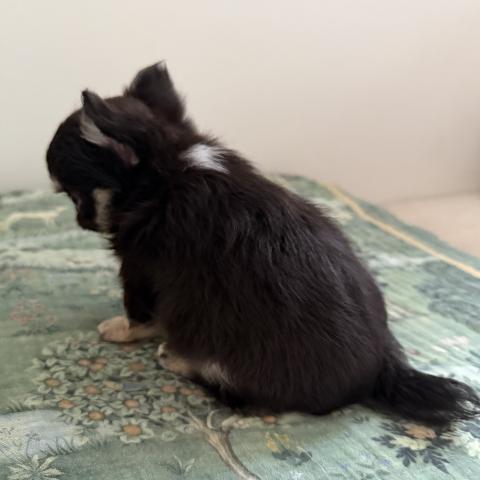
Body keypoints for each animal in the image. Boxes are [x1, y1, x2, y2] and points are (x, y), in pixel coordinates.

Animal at [46, 62, 479, 425]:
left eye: (74, 196)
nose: (79, 220)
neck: (167, 168)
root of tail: (379, 373)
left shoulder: (139, 268)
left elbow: (140, 311)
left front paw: (122, 329)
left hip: (227, 350)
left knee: (238, 391)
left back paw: (177, 357)